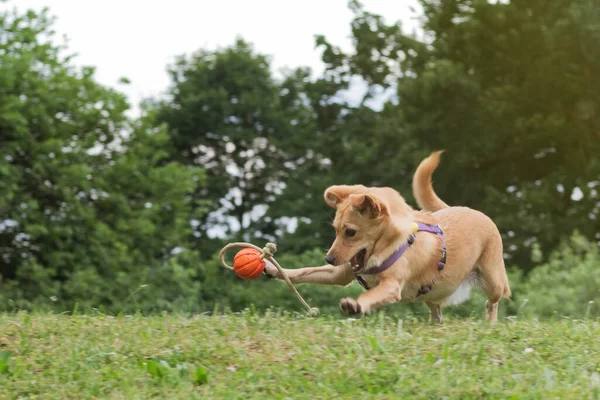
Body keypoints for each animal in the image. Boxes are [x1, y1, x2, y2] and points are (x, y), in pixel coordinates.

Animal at [266, 152, 510, 324]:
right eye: (335, 230)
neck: (386, 246)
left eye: (350, 232)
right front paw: (271, 268)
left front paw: (355, 305)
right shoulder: (339, 274)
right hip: (433, 293)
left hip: (493, 281)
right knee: (436, 310)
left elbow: (370, 295)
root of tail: (470, 209)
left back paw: (490, 322)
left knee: (493, 301)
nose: (329, 258)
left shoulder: (391, 286)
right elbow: (302, 272)